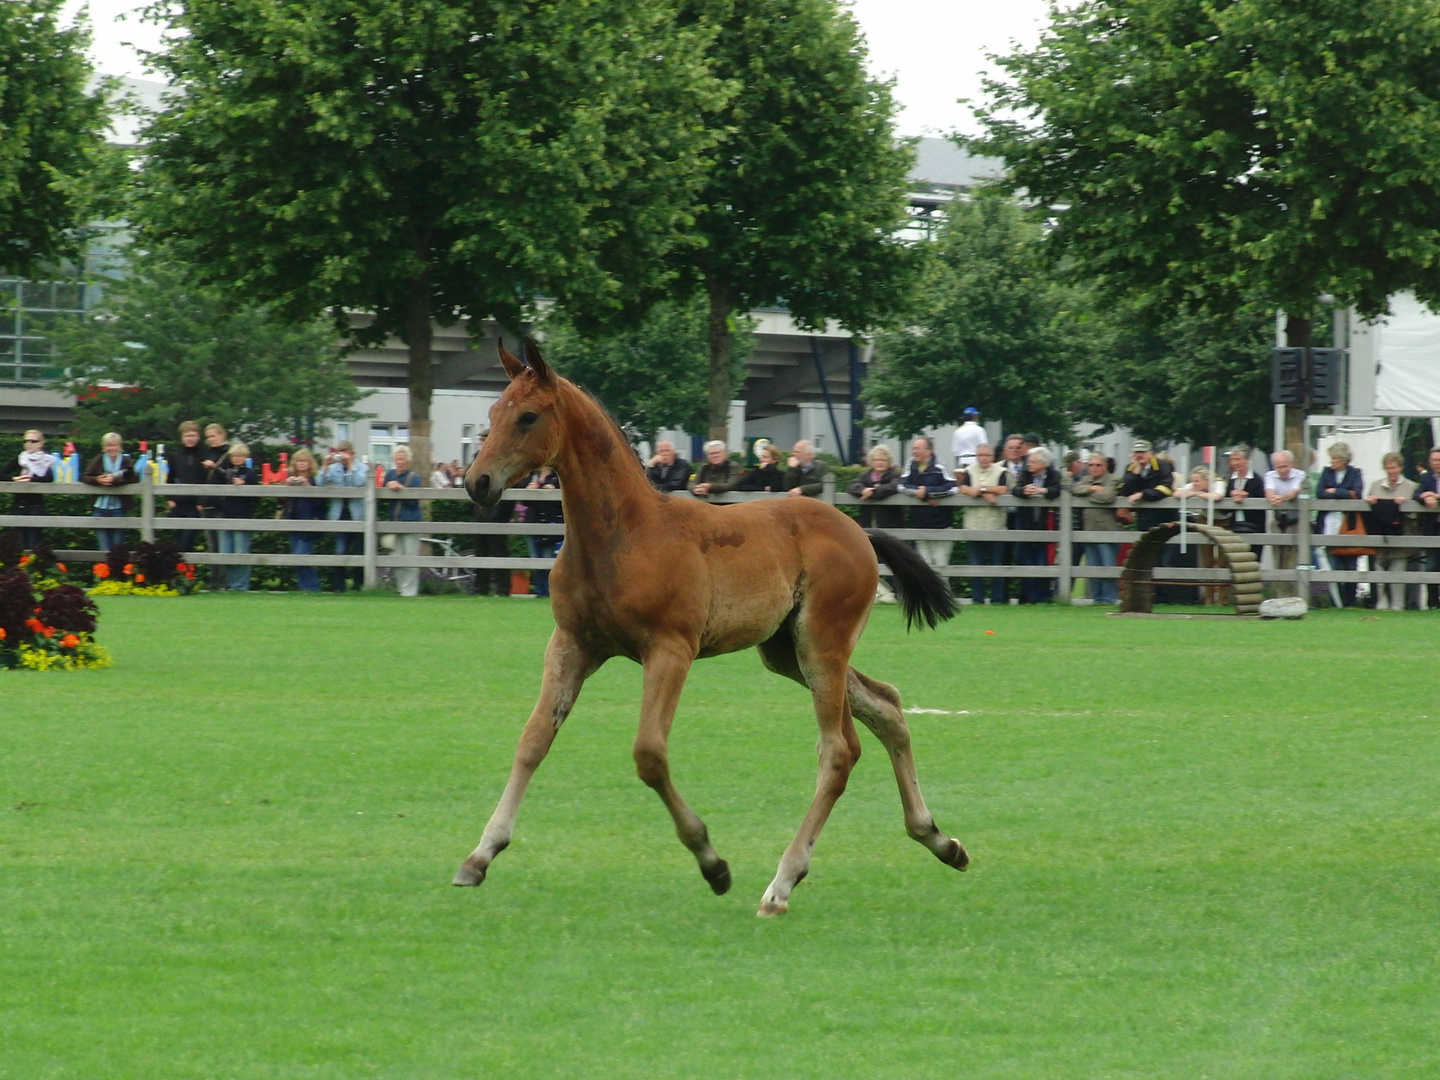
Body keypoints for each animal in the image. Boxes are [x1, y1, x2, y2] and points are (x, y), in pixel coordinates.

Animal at [455, 338, 961, 915]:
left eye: (529, 416)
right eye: (492, 415)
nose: (477, 482)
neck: (622, 534)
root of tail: (859, 531)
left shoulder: (670, 650)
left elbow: (649, 755)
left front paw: (712, 862)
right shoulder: (572, 644)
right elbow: (534, 739)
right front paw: (479, 856)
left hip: (822, 645)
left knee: (838, 751)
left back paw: (782, 883)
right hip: (787, 653)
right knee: (888, 707)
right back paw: (939, 839)